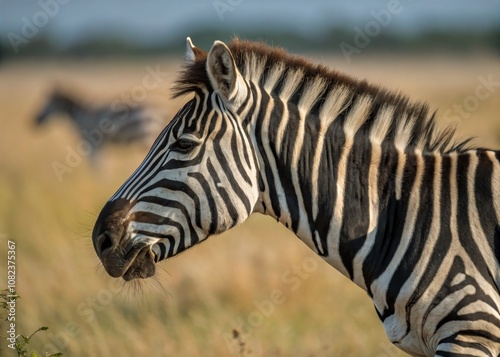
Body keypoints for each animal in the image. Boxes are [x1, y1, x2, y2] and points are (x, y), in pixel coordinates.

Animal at [35, 86, 168, 159]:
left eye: (47, 104)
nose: (34, 121)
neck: (82, 115)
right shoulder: (100, 146)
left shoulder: (91, 143)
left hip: (146, 134)